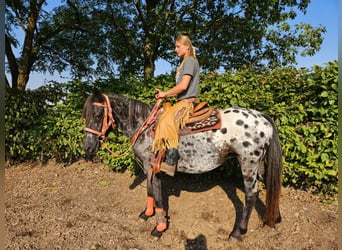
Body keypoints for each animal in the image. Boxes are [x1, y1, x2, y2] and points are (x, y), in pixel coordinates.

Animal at [81, 90, 282, 240]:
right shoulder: (147, 168)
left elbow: (158, 196)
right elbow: (149, 191)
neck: (144, 126)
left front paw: (159, 228)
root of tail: (262, 117)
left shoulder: (153, 168)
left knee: (251, 195)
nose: (87, 147)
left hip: (248, 163)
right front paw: (147, 213)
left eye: (98, 115)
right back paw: (275, 217)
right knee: (271, 185)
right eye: (86, 116)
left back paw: (237, 232)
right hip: (259, 164)